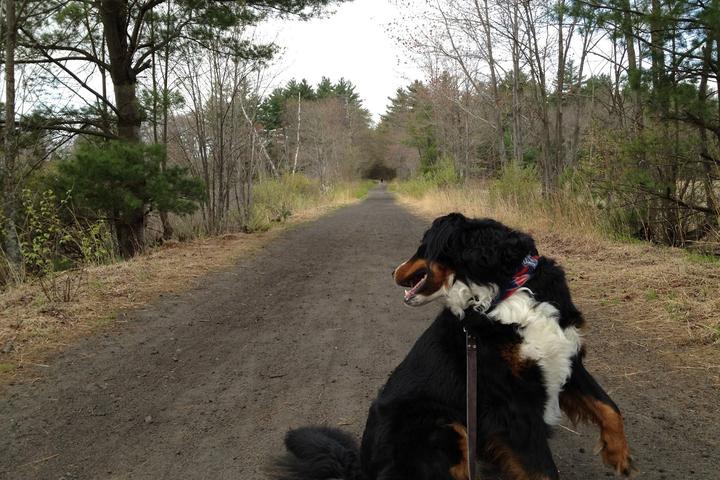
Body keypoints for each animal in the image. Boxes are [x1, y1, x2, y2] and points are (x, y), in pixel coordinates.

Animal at [270, 214, 636, 480]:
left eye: (422, 246)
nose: (392, 270)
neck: (506, 291)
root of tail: (362, 467)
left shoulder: (566, 357)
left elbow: (610, 407)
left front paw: (618, 454)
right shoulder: (511, 402)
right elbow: (543, 470)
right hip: (440, 425)